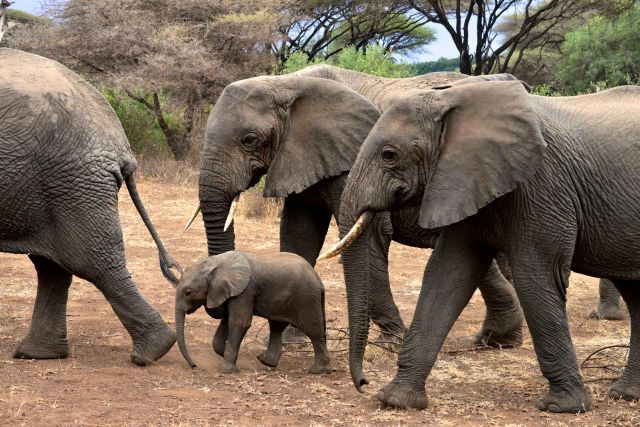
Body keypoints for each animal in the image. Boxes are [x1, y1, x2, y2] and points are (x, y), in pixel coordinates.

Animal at [0, 48, 180, 365]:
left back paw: (152, 352)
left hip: (72, 181)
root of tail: (121, 144)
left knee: (90, 262)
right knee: (52, 265)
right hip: (55, 188)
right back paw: (37, 354)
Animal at [175, 251, 331, 374]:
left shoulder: (245, 291)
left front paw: (226, 369)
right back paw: (266, 362)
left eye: (188, 292)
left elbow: (239, 322)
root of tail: (319, 281)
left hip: (306, 299)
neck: (215, 262)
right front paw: (225, 352)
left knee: (313, 330)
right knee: (276, 326)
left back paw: (318, 371)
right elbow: (227, 321)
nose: (194, 366)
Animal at [191, 65, 526, 354]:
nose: (219, 308)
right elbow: (299, 233)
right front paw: (292, 339)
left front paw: (392, 342)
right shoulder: (304, 156)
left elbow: (370, 234)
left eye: (249, 140)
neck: (286, 83)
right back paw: (501, 340)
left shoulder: (354, 155)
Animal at [329, 78, 640, 412]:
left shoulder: (542, 186)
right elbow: (447, 273)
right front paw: (396, 400)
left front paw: (563, 407)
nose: (363, 383)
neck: (452, 99)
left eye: (389, 154)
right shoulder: (464, 179)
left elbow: (536, 277)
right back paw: (627, 394)